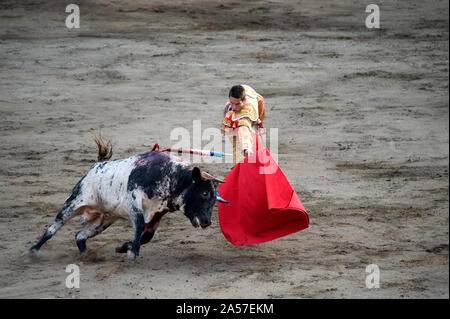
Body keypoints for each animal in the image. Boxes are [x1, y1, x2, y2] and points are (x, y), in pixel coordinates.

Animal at [29, 137, 229, 260]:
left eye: (214, 200)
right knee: (52, 229)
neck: (170, 175)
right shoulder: (132, 202)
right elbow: (139, 226)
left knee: (80, 235)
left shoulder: (157, 212)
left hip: (103, 220)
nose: (206, 221)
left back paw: (87, 255)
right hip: (73, 202)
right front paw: (132, 251)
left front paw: (124, 247)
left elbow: (146, 235)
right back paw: (33, 251)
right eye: (204, 194)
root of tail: (97, 165)